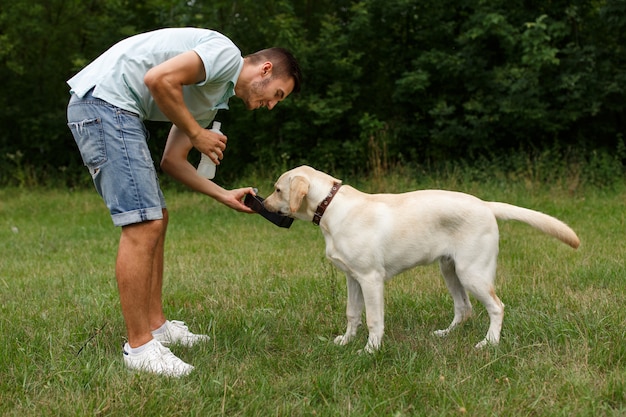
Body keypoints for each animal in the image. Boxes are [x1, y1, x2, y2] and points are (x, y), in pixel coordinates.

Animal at [260, 165, 576, 352]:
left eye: (277, 189)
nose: (262, 203)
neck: (331, 206)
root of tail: (486, 204)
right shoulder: (352, 278)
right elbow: (352, 314)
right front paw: (345, 341)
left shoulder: (371, 279)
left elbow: (373, 319)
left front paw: (370, 351)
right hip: (450, 270)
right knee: (464, 308)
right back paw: (445, 335)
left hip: (472, 272)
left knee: (497, 308)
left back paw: (489, 343)